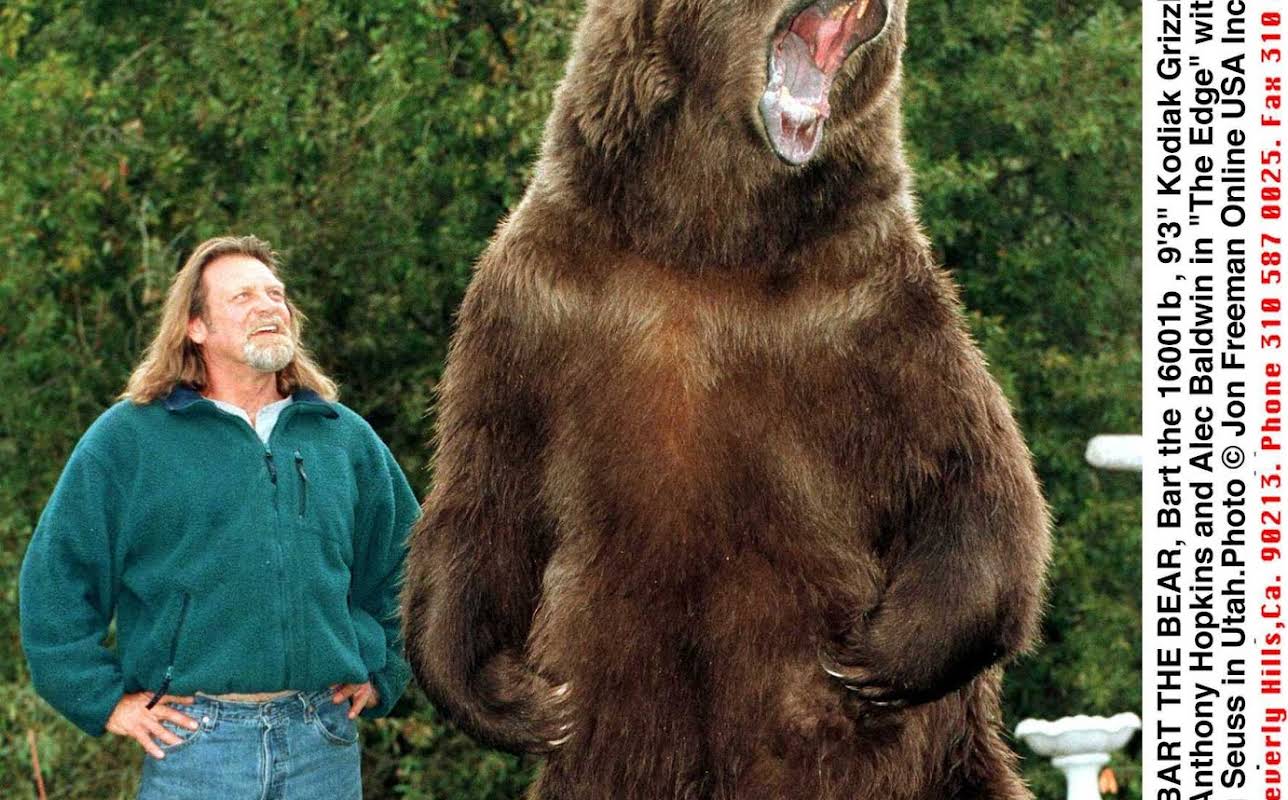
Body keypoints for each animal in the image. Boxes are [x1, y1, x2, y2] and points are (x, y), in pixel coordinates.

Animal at [401, 0, 1052, 797]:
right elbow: (484, 491)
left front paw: (879, 655)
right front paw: (510, 699)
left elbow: (971, 472)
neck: (705, 238)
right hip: (628, 721)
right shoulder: (537, 303)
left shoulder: (867, 313)